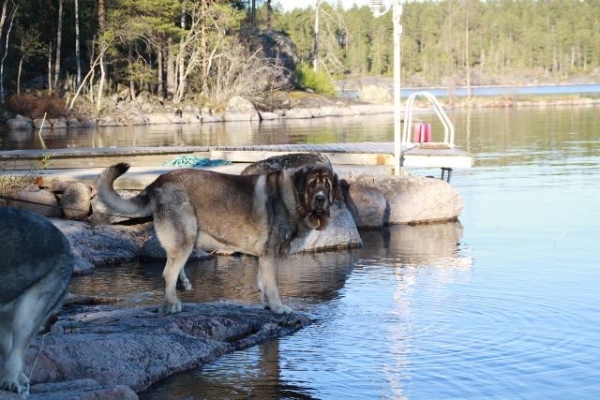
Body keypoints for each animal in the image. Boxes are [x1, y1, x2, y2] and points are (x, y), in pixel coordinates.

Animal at [98, 162, 342, 316]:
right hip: (184, 239)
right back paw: (173, 305)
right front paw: (278, 308)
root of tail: (157, 182)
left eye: (327, 185)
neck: (293, 197)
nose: (321, 199)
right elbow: (273, 286)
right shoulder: (271, 255)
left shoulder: (263, 257)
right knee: (168, 274)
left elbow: (263, 283)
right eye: (312, 184)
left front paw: (267, 306)